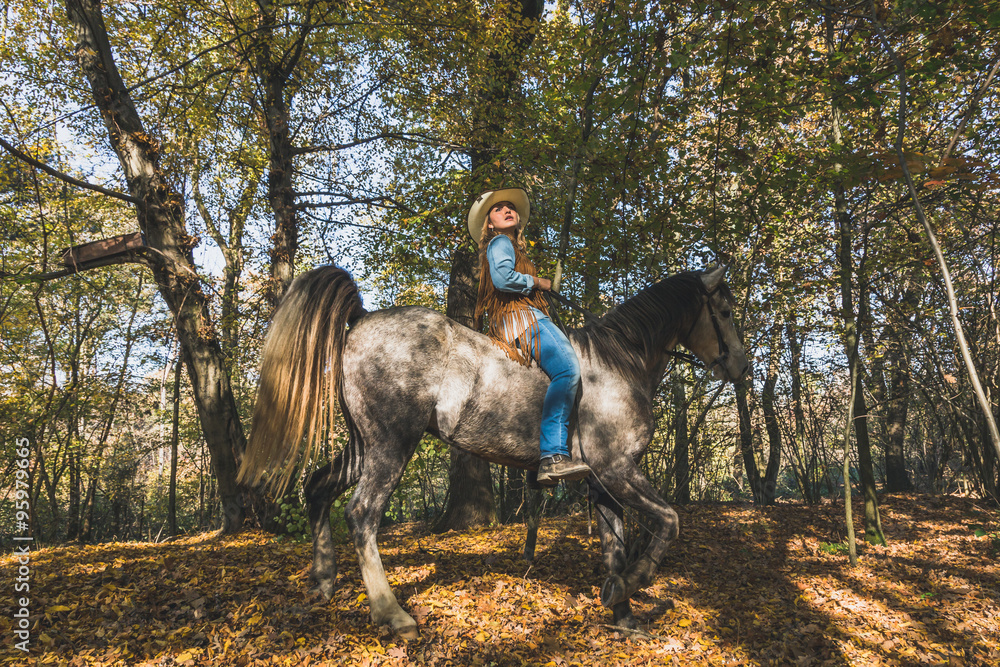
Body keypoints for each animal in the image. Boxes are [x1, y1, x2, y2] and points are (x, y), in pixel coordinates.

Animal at [236, 264, 752, 640]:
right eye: (725, 311)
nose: (741, 368)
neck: (619, 364)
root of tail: (362, 318)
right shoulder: (618, 469)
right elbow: (669, 521)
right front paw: (636, 582)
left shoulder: (603, 481)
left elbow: (614, 546)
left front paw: (621, 610)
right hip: (390, 444)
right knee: (362, 513)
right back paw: (392, 614)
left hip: (363, 445)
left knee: (318, 489)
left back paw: (324, 581)